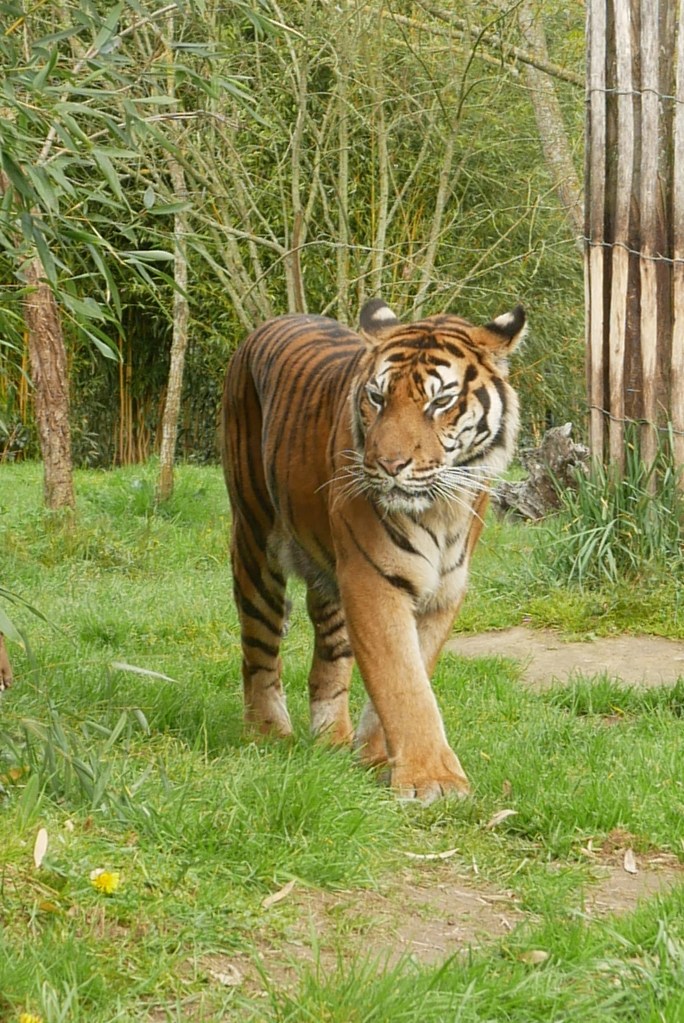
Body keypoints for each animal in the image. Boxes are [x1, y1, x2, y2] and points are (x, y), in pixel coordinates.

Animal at [221, 298, 526, 803]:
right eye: (378, 398)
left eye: (440, 402)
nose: (388, 465)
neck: (442, 508)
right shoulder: (374, 577)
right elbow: (402, 681)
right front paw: (432, 779)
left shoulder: (444, 588)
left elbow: (412, 669)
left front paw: (377, 758)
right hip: (254, 539)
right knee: (259, 648)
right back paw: (267, 734)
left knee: (328, 663)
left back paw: (333, 740)